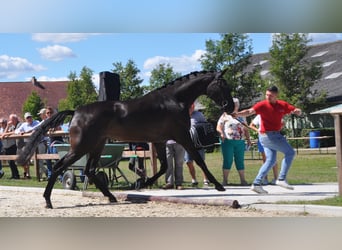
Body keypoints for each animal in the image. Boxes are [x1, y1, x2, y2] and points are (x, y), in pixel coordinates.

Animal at [16, 69, 235, 208]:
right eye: (222, 85)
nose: (231, 107)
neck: (174, 100)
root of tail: (76, 111)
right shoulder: (181, 136)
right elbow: (197, 160)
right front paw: (219, 185)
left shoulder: (160, 140)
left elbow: (164, 166)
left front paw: (141, 183)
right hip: (82, 147)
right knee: (60, 166)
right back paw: (48, 201)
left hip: (97, 145)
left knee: (89, 170)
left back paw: (111, 196)